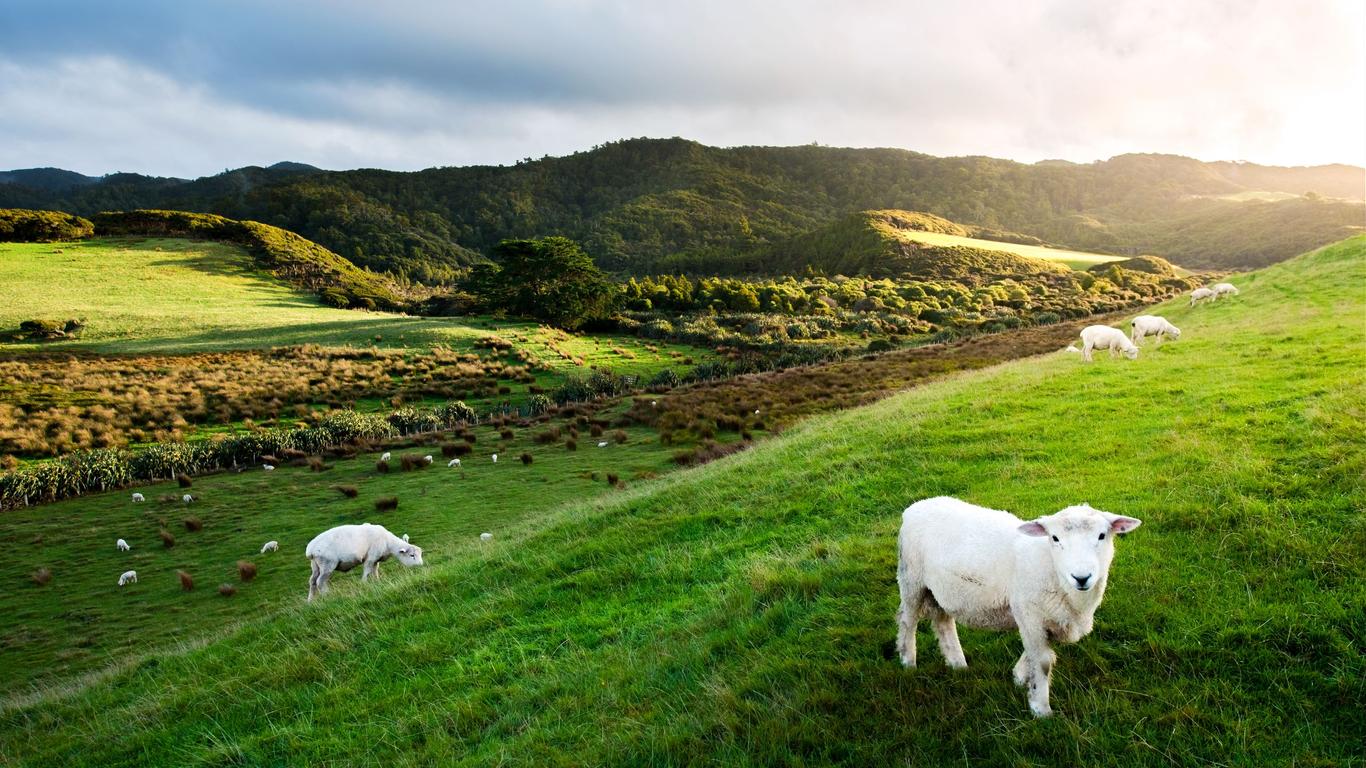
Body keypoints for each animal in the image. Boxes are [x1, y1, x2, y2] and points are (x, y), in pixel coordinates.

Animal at [896, 491, 1141, 716]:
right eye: (1055, 538)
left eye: (1102, 535)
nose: (1081, 577)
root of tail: (918, 505)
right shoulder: (1028, 613)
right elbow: (1042, 661)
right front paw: (1041, 709)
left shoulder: (1047, 618)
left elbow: (1036, 654)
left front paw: (1019, 677)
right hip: (911, 579)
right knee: (908, 621)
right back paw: (908, 663)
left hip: (942, 590)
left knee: (943, 622)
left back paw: (958, 665)